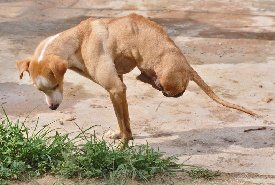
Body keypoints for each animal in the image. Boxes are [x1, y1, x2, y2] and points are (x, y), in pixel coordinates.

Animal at [16, 13, 256, 148]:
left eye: (56, 85)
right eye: (41, 90)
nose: (53, 108)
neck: (78, 39)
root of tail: (187, 65)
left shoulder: (115, 88)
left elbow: (124, 123)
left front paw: (123, 146)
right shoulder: (119, 88)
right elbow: (124, 119)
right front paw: (122, 135)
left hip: (167, 77)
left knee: (175, 90)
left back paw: (154, 81)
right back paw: (145, 78)